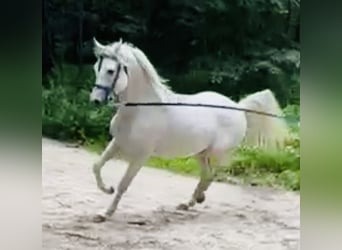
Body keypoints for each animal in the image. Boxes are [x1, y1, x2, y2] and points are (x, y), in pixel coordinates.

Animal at [88, 38, 288, 222]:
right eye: (96, 68)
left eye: (110, 71)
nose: (95, 100)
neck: (140, 110)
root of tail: (238, 107)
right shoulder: (117, 143)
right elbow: (96, 166)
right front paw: (107, 189)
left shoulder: (141, 155)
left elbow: (123, 184)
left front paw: (105, 213)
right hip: (200, 152)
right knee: (206, 174)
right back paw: (189, 202)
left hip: (216, 152)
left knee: (212, 174)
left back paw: (197, 198)